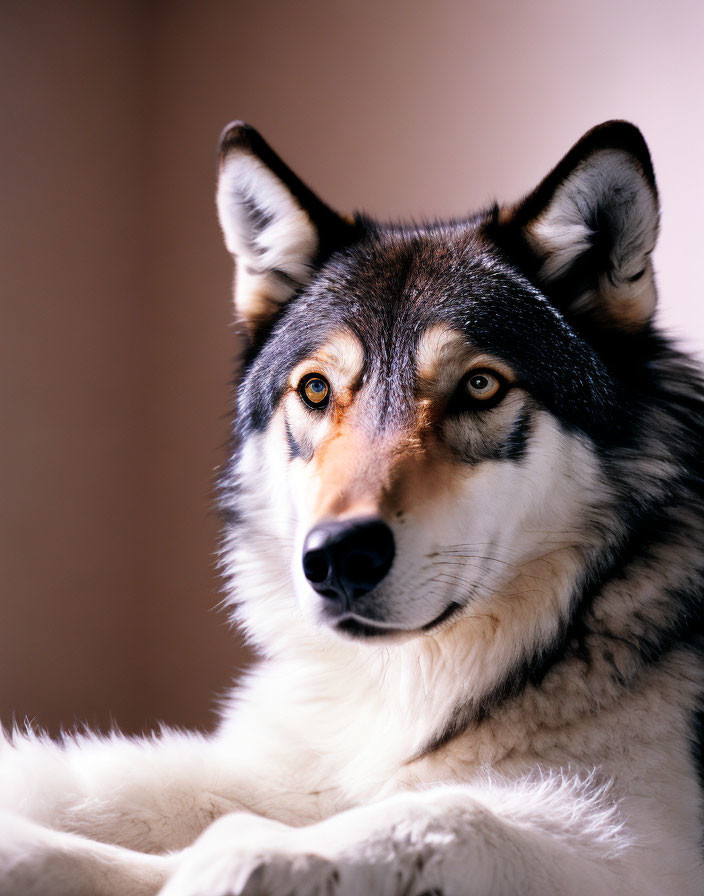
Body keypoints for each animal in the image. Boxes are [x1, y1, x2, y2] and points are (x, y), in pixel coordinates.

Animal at [1, 121, 704, 896]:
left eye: (481, 386)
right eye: (315, 390)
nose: (336, 557)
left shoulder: (642, 848)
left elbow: (434, 815)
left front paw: (225, 866)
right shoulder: (282, 762)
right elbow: (88, 778)